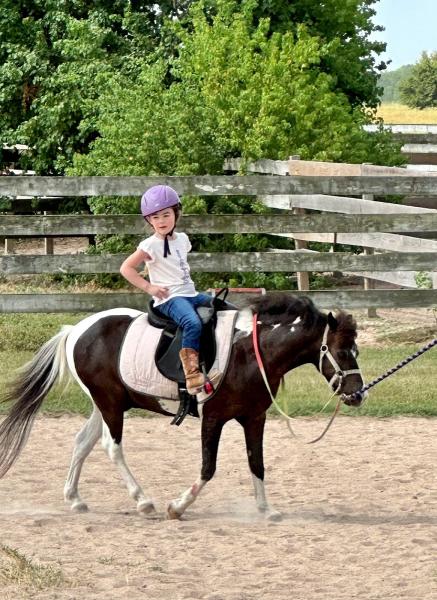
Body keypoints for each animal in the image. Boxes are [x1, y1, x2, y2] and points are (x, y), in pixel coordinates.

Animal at [0, 292, 362, 516]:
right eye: (343, 352)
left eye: (356, 350)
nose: (359, 394)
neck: (249, 351)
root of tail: (76, 329)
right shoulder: (213, 418)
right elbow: (208, 468)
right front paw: (178, 506)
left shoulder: (254, 418)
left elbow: (256, 463)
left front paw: (266, 510)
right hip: (111, 405)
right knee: (110, 446)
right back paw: (143, 501)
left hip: (104, 404)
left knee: (82, 443)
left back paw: (74, 499)